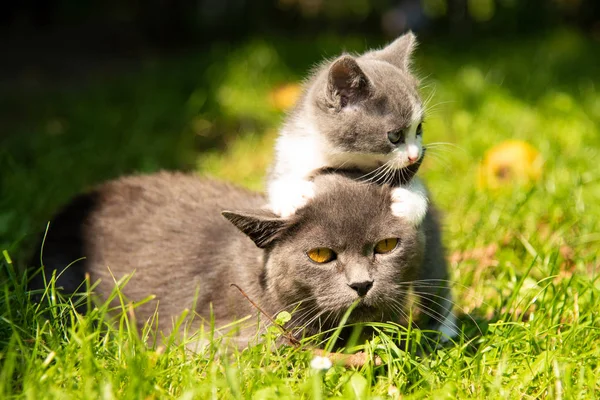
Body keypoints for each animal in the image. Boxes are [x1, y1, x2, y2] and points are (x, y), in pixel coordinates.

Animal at [266, 33, 426, 227]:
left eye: (419, 128)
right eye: (395, 136)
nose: (414, 156)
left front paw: (410, 200)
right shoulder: (290, 148)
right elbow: (277, 177)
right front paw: (291, 195)